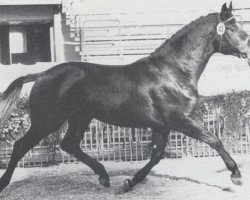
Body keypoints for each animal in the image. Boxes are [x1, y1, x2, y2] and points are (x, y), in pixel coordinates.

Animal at [0, 2, 250, 192]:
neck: (172, 72)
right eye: (235, 28)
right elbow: (213, 139)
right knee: (21, 145)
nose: (248, 50)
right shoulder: (178, 120)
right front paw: (236, 175)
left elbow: (157, 155)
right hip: (47, 120)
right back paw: (4, 183)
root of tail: (41, 74)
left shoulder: (163, 125)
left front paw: (129, 183)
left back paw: (104, 177)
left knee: (69, 144)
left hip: (80, 118)